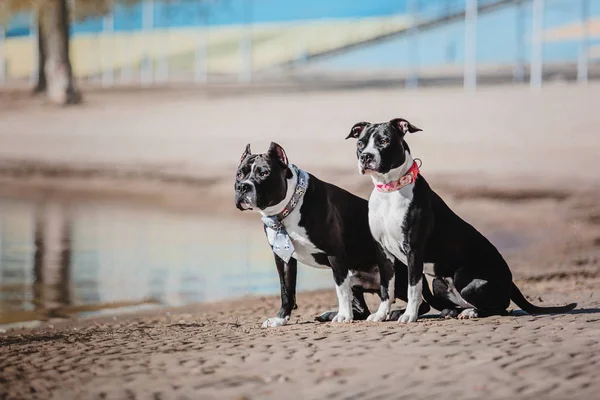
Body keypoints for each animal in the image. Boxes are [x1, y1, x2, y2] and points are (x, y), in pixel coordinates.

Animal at [233, 142, 432, 326]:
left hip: (399, 274)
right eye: (239, 174)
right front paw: (280, 319)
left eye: (264, 173)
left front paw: (343, 316)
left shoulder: (335, 254)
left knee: (419, 299)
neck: (290, 206)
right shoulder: (283, 258)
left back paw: (397, 313)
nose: (243, 187)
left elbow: (340, 289)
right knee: (362, 308)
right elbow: (286, 290)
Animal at [346, 118, 576, 322]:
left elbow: (413, 288)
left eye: (384, 141)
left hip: (467, 281)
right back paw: (453, 311)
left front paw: (409, 316)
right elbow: (386, 288)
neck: (391, 190)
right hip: (439, 282)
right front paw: (381, 315)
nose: (366, 156)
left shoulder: (414, 250)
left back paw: (471, 312)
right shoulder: (382, 252)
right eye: (360, 143)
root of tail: (511, 283)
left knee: (501, 308)